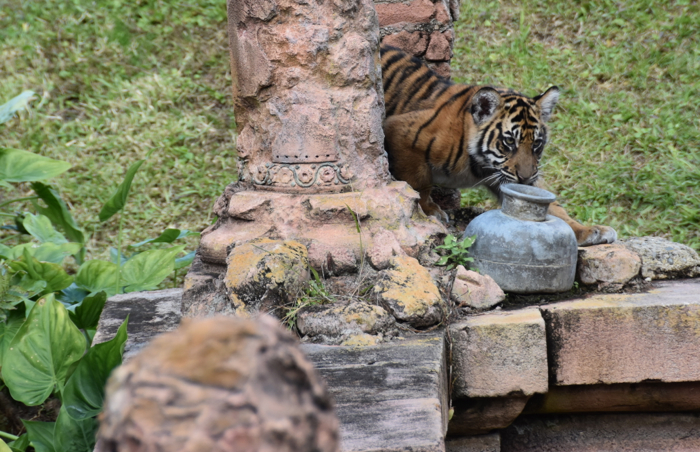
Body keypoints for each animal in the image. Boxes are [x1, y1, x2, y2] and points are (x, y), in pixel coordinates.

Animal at [380, 44, 616, 245]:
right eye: (510, 141)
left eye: (537, 144)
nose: (526, 177)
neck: (479, 164)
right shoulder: (400, 132)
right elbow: (418, 184)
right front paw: (428, 211)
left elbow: (552, 208)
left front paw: (589, 231)